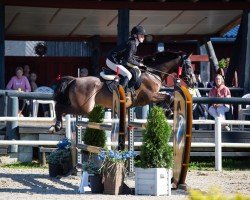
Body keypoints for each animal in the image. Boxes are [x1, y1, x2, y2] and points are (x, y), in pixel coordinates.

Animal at [49, 49, 196, 133]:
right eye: (189, 66)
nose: (193, 82)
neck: (152, 72)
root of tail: (74, 80)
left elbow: (170, 96)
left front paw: (168, 110)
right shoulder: (149, 96)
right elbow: (169, 96)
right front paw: (168, 111)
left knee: (61, 107)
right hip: (84, 107)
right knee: (59, 107)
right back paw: (56, 126)